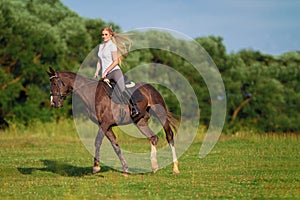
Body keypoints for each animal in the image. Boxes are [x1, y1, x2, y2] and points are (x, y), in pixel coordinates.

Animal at [46, 67, 178, 173]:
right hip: (140, 121)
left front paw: (96, 167)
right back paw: (154, 166)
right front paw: (125, 168)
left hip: (160, 114)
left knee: (169, 136)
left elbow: (97, 141)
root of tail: (152, 87)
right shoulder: (106, 125)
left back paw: (175, 168)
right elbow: (115, 146)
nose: (53, 103)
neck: (92, 94)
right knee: (153, 138)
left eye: (55, 83)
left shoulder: (105, 124)